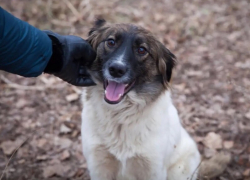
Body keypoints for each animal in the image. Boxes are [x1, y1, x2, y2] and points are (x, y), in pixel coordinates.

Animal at [81, 19, 200, 180]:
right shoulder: (98, 165)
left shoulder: (153, 168)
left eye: (142, 50)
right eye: (111, 42)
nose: (116, 70)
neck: (119, 114)